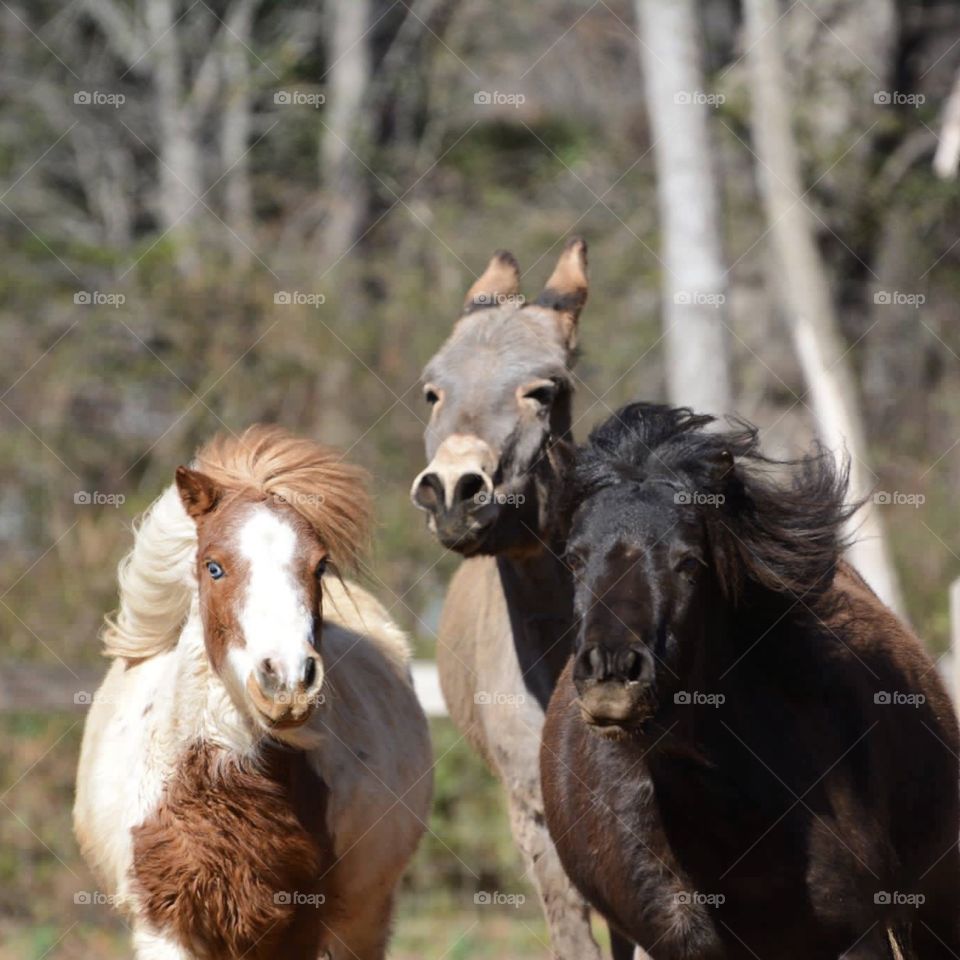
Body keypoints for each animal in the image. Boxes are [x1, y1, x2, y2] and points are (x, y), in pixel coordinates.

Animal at [75, 428, 432, 960]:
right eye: (213, 567)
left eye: (320, 566)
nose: (286, 683)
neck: (221, 783)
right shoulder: (166, 923)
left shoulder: (299, 927)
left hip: (364, 919)